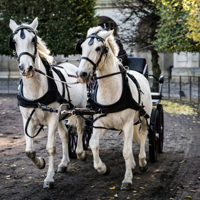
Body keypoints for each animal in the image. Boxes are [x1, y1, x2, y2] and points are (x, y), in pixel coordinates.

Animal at [8, 18, 86, 188]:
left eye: (33, 39)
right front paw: (40, 163)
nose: (26, 68)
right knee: (65, 135)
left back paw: (80, 153)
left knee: (80, 129)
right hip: (62, 115)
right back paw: (64, 163)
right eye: (14, 42)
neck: (36, 91)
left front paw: (49, 178)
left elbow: (50, 148)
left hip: (79, 109)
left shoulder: (51, 119)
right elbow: (29, 151)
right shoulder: (28, 119)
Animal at [76, 27, 152, 191]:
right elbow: (93, 144)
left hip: (144, 116)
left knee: (143, 135)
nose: (81, 74)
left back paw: (142, 161)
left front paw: (127, 179)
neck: (110, 91)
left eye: (98, 48)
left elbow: (126, 151)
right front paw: (103, 168)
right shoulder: (100, 124)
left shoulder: (128, 123)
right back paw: (134, 164)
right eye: (82, 47)